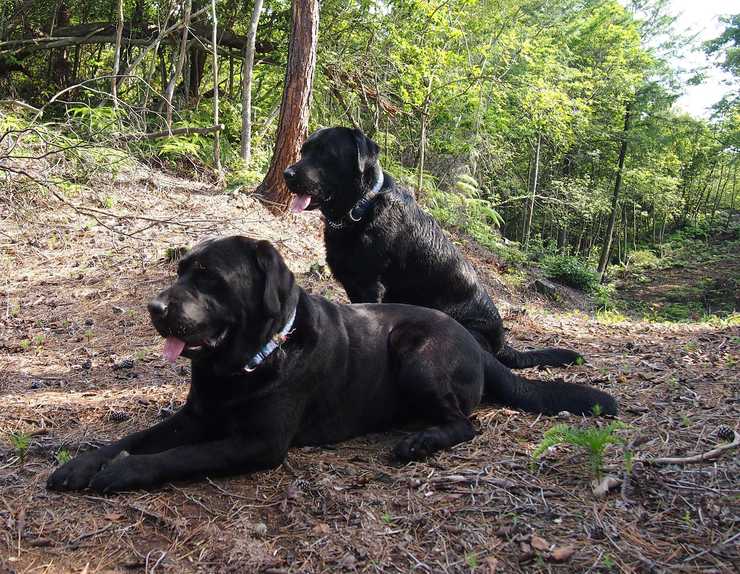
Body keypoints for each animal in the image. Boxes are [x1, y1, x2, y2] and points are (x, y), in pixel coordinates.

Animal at [44, 236, 612, 492]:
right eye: (182, 269)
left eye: (209, 277)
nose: (155, 308)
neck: (251, 360)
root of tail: (476, 343)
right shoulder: (194, 416)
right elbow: (134, 436)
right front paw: (82, 463)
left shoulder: (259, 442)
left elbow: (177, 456)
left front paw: (122, 471)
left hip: (416, 353)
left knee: (466, 423)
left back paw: (421, 440)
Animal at [286, 126, 588, 372]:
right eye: (304, 150)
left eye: (326, 153)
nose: (287, 173)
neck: (362, 206)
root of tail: (502, 342)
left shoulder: (372, 287)